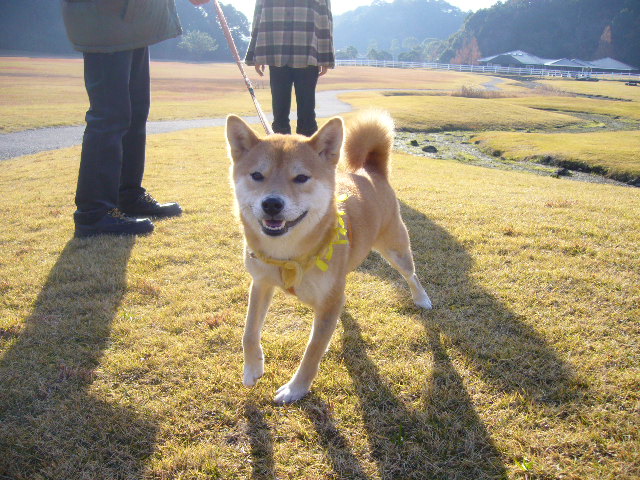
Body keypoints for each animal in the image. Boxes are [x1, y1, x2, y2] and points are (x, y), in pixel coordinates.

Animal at [225, 110, 430, 404]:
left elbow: (313, 351)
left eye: (301, 177)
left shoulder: (328, 303)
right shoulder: (261, 283)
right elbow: (249, 331)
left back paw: (421, 298)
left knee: (411, 275)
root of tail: (370, 172)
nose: (272, 203)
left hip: (397, 250)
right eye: (256, 175)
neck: (289, 254)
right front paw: (252, 368)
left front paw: (296, 388)